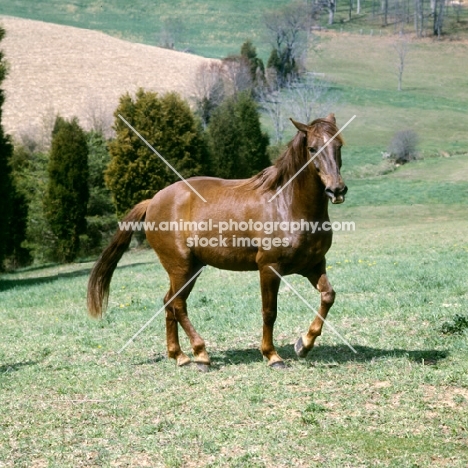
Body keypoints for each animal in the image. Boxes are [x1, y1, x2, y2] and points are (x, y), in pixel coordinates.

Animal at [87, 113, 348, 370]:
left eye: (339, 145)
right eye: (312, 148)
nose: (336, 190)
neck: (287, 204)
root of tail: (152, 201)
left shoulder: (313, 266)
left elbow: (328, 296)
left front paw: (303, 344)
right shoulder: (269, 268)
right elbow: (269, 312)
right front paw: (273, 356)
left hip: (190, 269)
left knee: (169, 303)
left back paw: (179, 356)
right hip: (180, 267)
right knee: (178, 304)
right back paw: (201, 354)